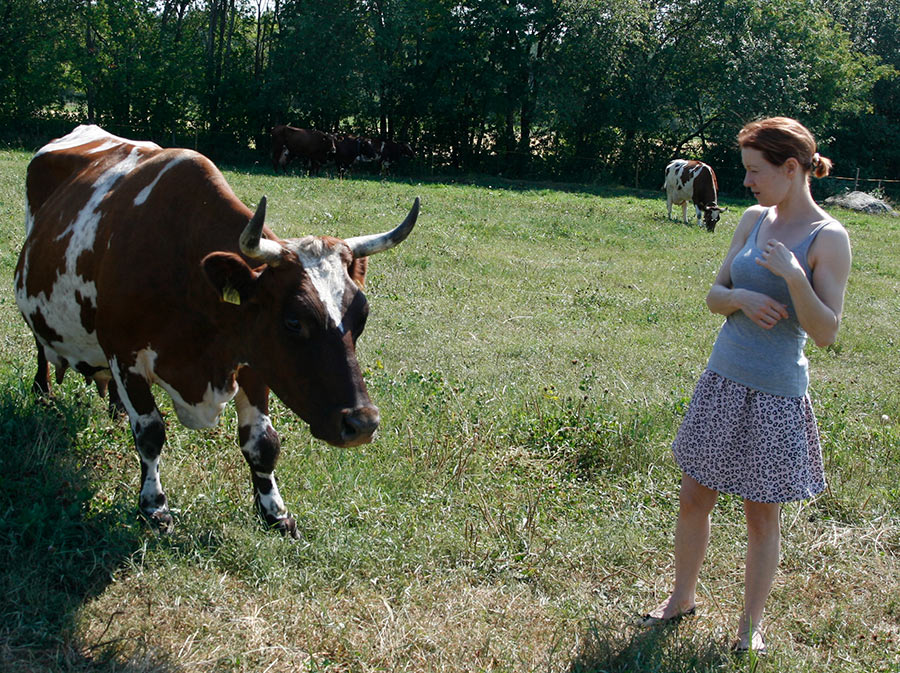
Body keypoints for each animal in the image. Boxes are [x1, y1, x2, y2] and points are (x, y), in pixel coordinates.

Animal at [14, 124, 422, 536]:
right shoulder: (124, 355)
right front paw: (154, 507)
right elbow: (150, 433)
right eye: (293, 320)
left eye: (362, 317)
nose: (363, 423)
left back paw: (113, 408)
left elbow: (263, 443)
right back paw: (43, 391)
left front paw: (274, 512)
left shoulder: (253, 358)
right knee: (41, 348)